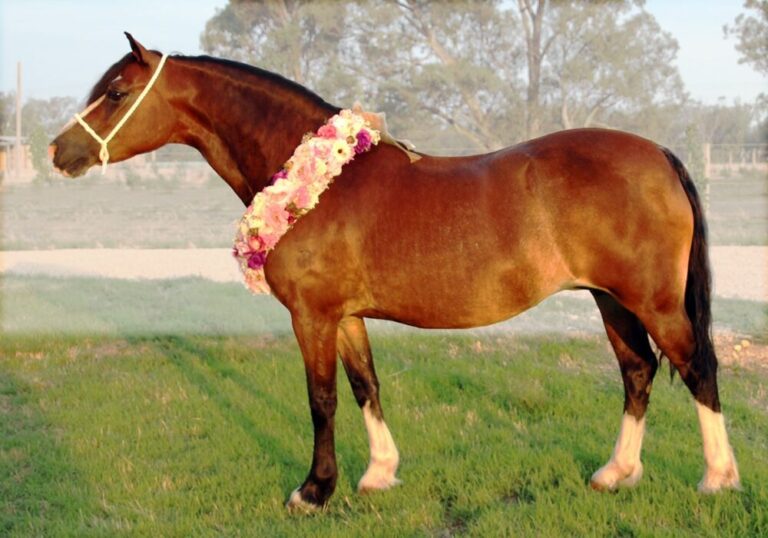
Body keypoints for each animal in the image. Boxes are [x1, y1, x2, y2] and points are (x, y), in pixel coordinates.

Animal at [50, 33, 740, 510]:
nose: (59, 151)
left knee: (696, 368)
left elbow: (322, 399)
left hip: (650, 300)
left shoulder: (312, 316)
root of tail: (659, 153)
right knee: (638, 370)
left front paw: (313, 491)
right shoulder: (345, 316)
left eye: (116, 93)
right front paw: (379, 473)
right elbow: (366, 386)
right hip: (610, 298)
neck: (321, 182)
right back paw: (616, 473)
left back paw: (717, 478)